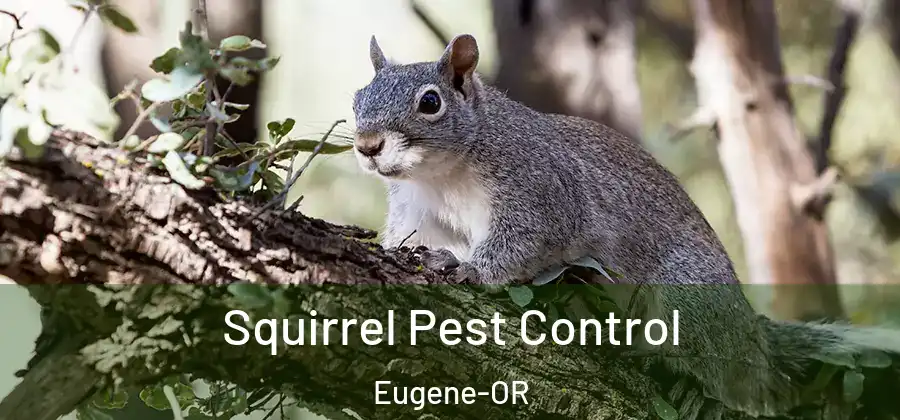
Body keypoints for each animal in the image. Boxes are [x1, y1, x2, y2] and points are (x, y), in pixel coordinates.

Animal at [351, 34, 900, 418]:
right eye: (358, 97)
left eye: (430, 102)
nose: (367, 145)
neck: (442, 174)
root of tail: (752, 336)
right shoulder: (419, 212)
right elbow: (411, 238)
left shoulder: (543, 192)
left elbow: (523, 242)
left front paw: (470, 269)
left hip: (688, 297)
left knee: (730, 378)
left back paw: (695, 386)